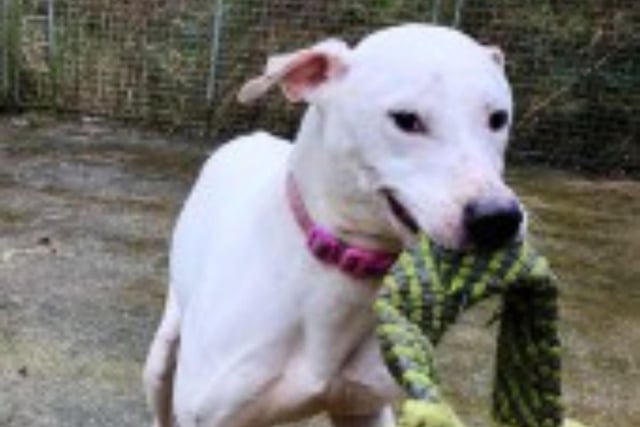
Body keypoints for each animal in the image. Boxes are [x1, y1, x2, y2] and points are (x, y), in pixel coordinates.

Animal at [145, 24, 524, 427]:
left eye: (498, 118)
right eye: (406, 119)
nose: (497, 218)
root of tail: (254, 136)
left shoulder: (365, 407)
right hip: (162, 359)